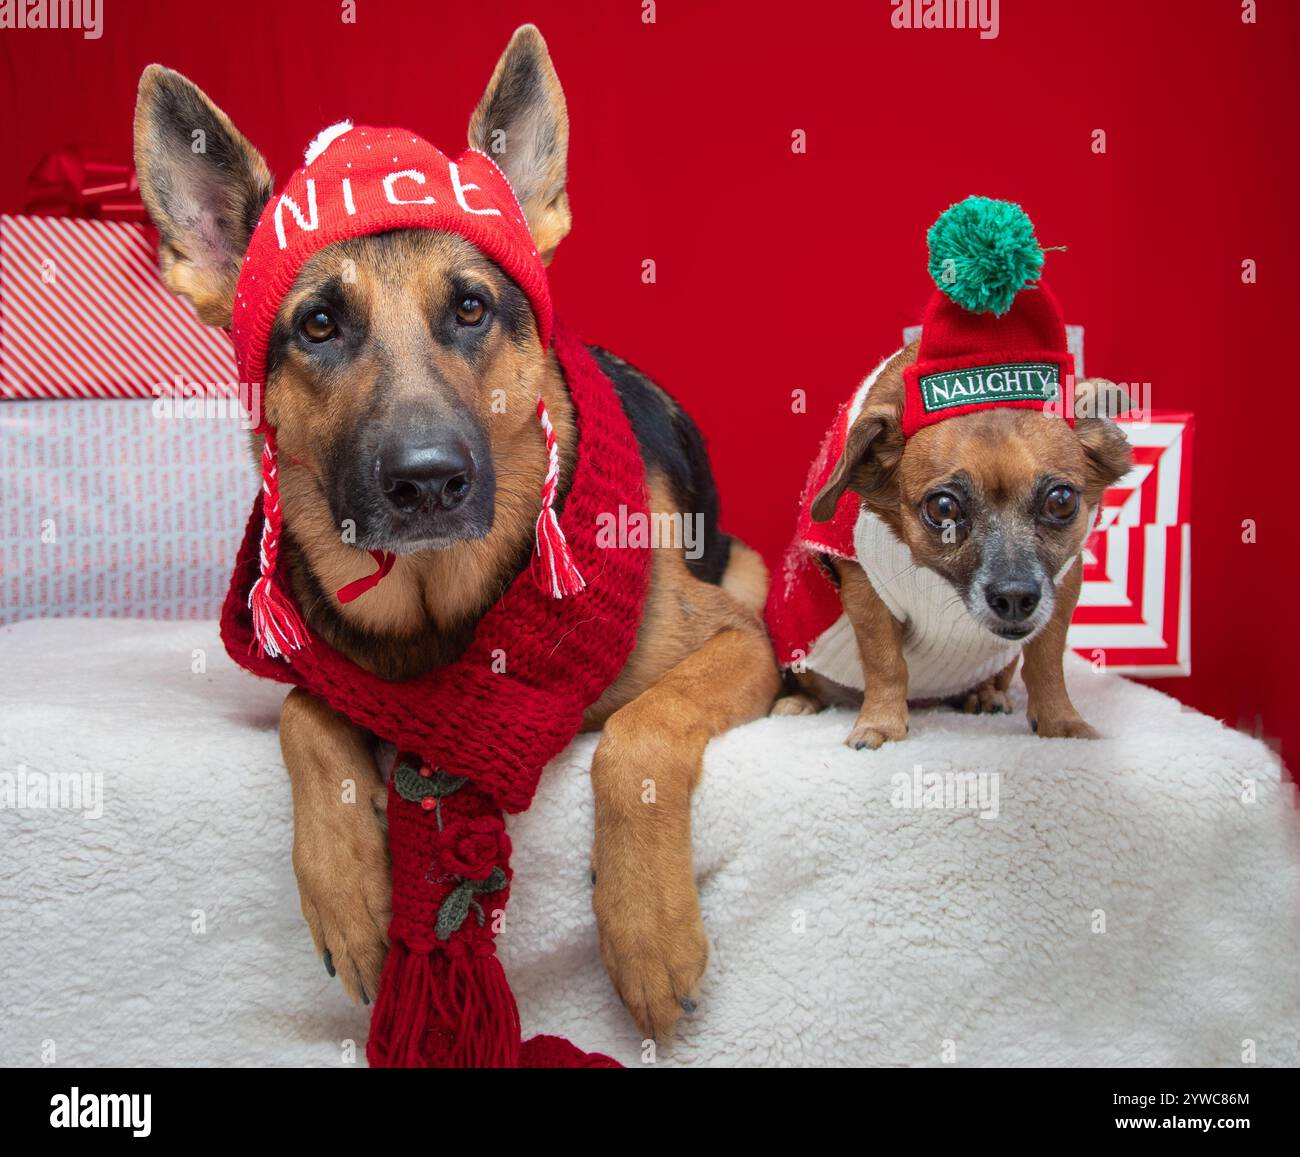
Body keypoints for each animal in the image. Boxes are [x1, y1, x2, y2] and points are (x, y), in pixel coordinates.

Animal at [131, 26, 774, 1034]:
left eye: (470, 307)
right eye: (319, 325)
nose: (428, 481)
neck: (438, 611)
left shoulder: (737, 642)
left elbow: (639, 731)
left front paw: (647, 929)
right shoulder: (329, 669)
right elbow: (303, 711)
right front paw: (350, 891)